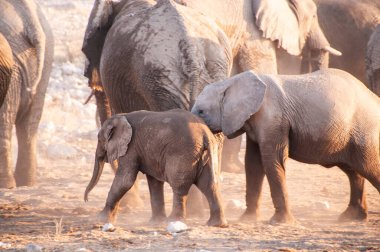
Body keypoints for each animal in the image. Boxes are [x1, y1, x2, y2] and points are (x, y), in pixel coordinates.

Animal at [85, 109, 229, 227]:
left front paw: (100, 219)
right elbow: (154, 182)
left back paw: (173, 220)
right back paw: (216, 224)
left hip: (182, 153)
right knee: (209, 185)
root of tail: (205, 134)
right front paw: (155, 222)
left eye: (99, 139)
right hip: (208, 154)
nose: (86, 199)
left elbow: (125, 181)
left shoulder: (131, 147)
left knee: (179, 186)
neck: (122, 115)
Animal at [193, 68, 380, 222]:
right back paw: (351, 218)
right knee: (353, 171)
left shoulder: (273, 118)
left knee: (367, 167)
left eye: (201, 112)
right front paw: (247, 219)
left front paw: (279, 222)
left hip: (365, 131)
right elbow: (253, 164)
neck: (230, 81)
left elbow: (272, 160)